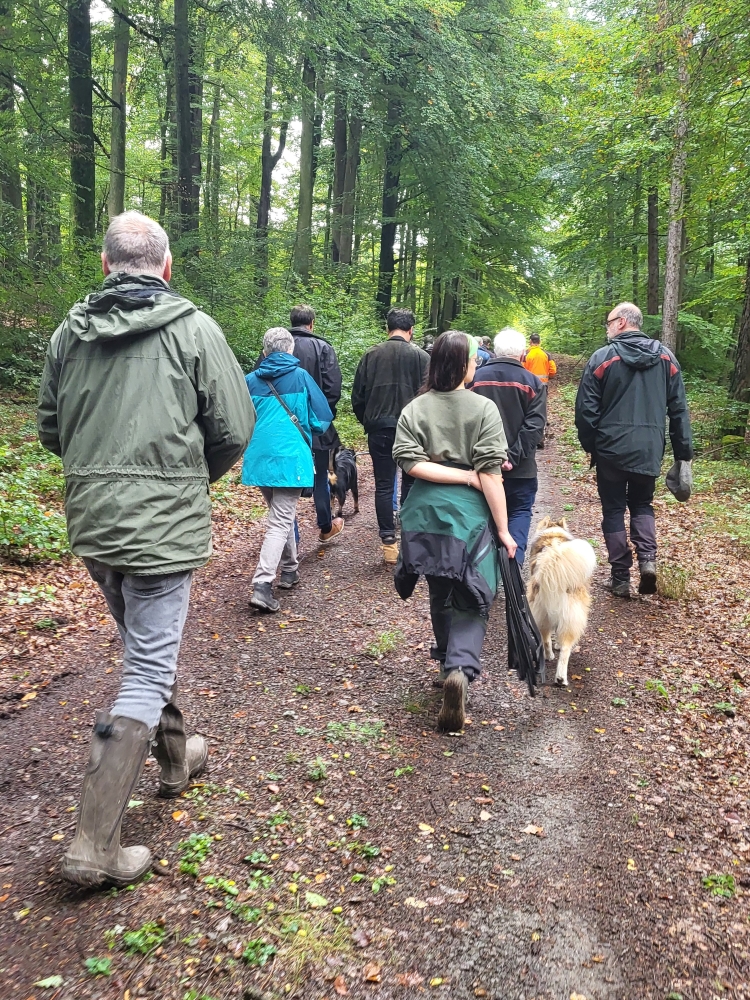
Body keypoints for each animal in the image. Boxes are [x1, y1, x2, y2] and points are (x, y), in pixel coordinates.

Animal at [528, 516, 600, 688]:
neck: (553, 533)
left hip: (545, 615)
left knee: (550, 641)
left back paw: (554, 666)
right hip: (567, 618)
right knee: (561, 647)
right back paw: (556, 669)